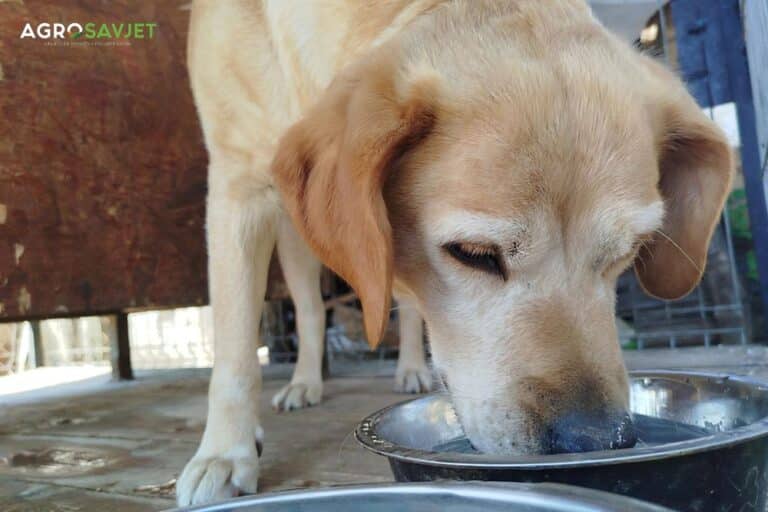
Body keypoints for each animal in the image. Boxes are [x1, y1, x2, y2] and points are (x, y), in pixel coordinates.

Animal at [178, 0, 732, 504]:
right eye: (473, 254)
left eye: (629, 251)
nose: (597, 439)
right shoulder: (234, 186)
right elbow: (233, 348)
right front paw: (223, 453)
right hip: (293, 239)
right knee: (313, 310)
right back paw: (304, 383)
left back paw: (407, 368)